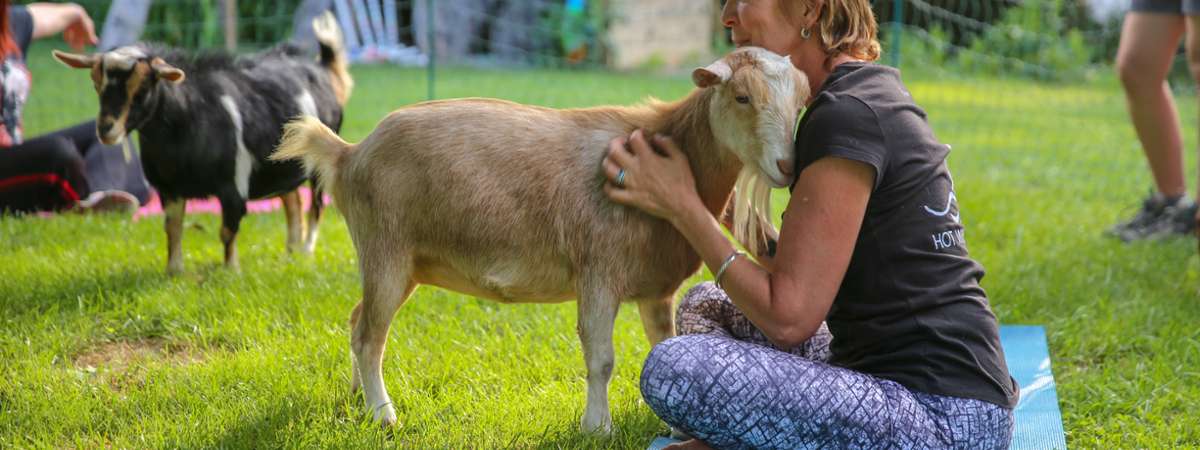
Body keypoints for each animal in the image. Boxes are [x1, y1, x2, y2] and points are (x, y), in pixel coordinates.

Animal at [54, 15, 350, 274]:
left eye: (142, 89)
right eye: (96, 85)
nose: (106, 129)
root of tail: (322, 69)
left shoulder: (233, 186)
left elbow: (227, 230)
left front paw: (231, 270)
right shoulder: (169, 189)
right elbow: (173, 228)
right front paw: (174, 271)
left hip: (321, 165)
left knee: (315, 206)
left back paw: (306, 250)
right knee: (292, 201)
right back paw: (291, 250)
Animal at [274, 47, 806, 434]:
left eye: (799, 103)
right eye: (741, 97)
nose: (787, 166)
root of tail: (349, 154)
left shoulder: (656, 288)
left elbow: (664, 347)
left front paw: (672, 428)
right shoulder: (598, 271)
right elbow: (601, 358)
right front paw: (597, 428)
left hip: (402, 261)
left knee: (357, 322)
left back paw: (358, 398)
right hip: (385, 247)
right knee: (370, 334)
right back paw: (383, 414)